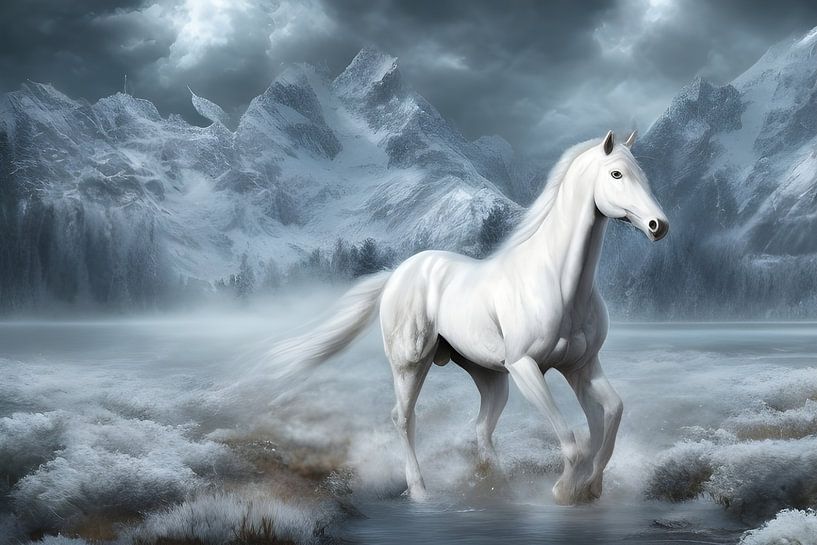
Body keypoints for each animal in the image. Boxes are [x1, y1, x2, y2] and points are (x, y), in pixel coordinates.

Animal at [267, 130, 669, 505]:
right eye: (616, 174)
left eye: (642, 174)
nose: (658, 225)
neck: (557, 282)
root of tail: (397, 273)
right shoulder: (526, 366)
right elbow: (573, 442)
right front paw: (564, 491)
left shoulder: (581, 366)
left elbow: (612, 414)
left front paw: (591, 487)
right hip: (411, 364)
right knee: (404, 418)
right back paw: (420, 490)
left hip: (491, 377)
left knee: (480, 427)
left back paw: (496, 482)